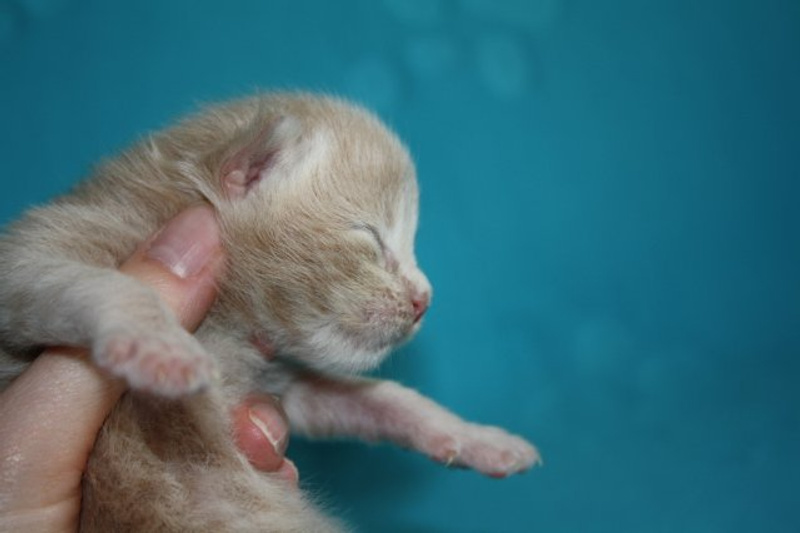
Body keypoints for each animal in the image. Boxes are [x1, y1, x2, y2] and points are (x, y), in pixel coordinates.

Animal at [0, 93, 540, 532]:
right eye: (369, 236)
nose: (425, 301)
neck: (231, 325)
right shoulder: (35, 251)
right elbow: (113, 286)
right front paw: (160, 347)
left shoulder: (280, 387)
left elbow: (380, 397)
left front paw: (476, 437)